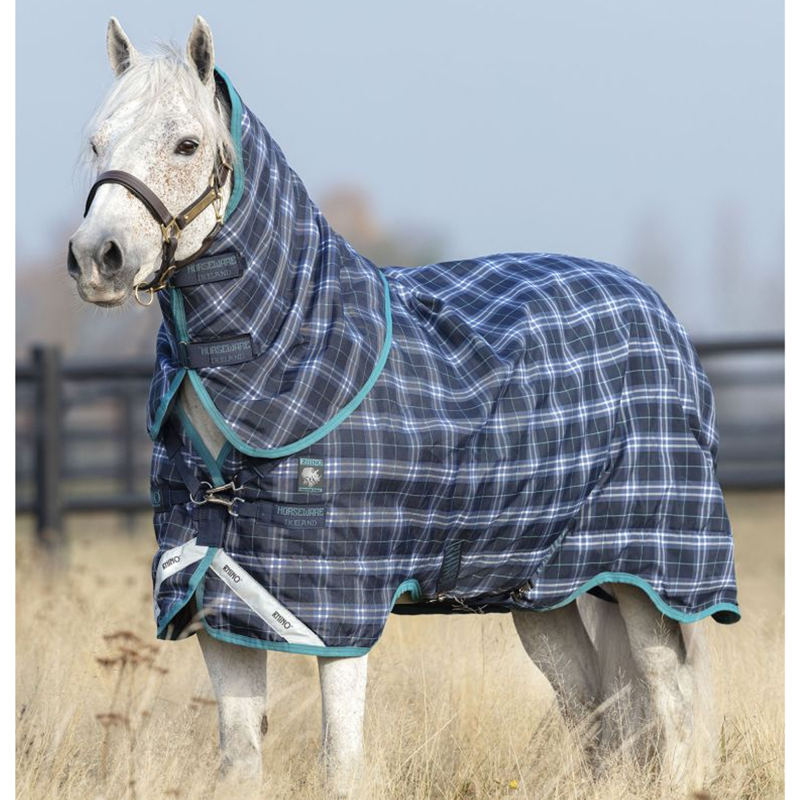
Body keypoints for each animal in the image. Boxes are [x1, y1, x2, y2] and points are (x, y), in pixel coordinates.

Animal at [67, 16, 739, 797]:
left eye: (186, 144)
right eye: (97, 141)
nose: (98, 258)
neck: (294, 346)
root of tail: (656, 310)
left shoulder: (334, 613)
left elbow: (340, 760)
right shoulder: (215, 595)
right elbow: (240, 756)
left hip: (649, 583)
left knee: (672, 708)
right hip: (547, 591)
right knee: (595, 710)